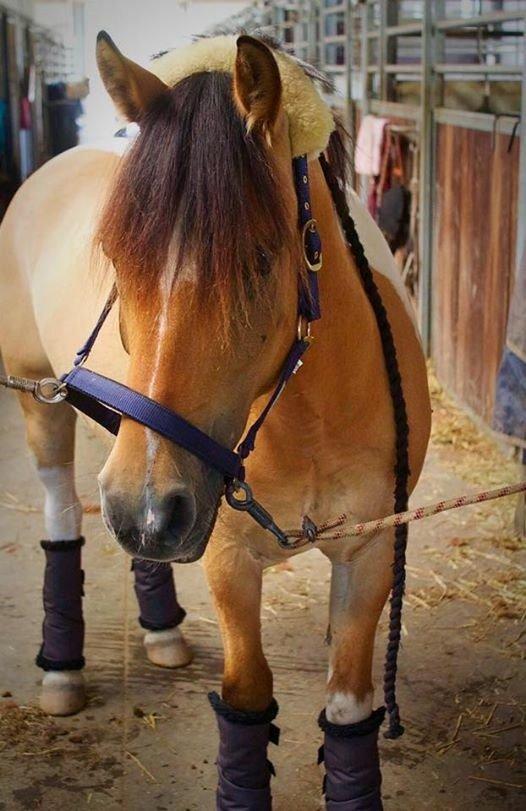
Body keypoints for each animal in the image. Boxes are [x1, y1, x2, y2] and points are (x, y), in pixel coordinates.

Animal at [0, 32, 431, 809]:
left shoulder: (373, 547)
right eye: (116, 261)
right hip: (51, 408)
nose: (149, 511)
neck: (309, 418)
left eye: (261, 258)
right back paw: (61, 669)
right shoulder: (228, 556)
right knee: (62, 511)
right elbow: (246, 701)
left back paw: (162, 631)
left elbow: (349, 714)